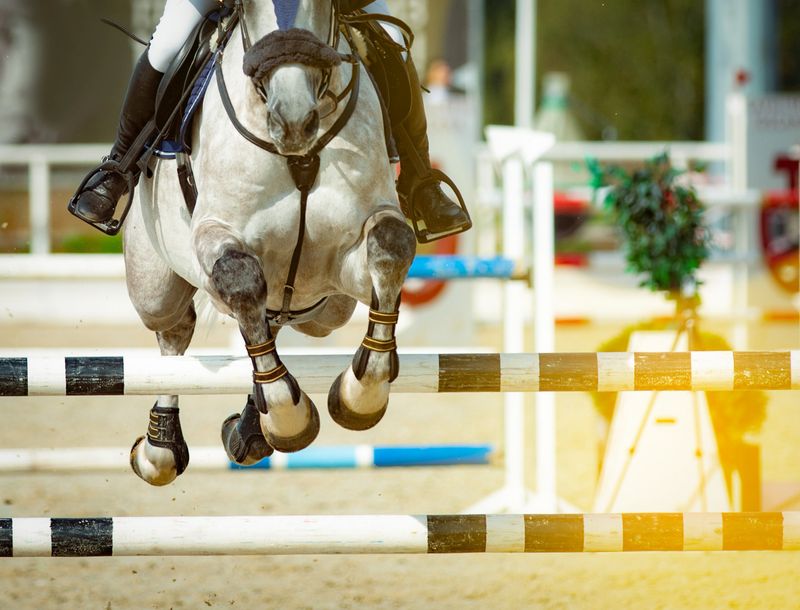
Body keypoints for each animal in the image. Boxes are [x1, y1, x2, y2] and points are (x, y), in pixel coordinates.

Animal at [123, 0, 416, 486]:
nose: (293, 121)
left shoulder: (346, 257)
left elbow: (392, 245)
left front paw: (359, 397)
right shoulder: (216, 233)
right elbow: (239, 279)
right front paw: (288, 419)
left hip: (325, 310)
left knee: (273, 318)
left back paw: (248, 430)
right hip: (152, 287)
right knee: (176, 330)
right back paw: (159, 449)